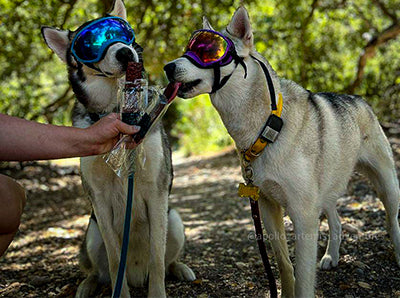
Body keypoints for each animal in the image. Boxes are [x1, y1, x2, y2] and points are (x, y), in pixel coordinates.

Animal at [163, 7, 400, 298]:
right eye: (188, 48)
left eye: (207, 51)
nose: (167, 67)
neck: (269, 126)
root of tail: (359, 99)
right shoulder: (267, 205)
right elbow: (284, 264)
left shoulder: (303, 215)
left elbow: (304, 279)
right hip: (327, 190)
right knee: (336, 221)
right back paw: (331, 257)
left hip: (386, 185)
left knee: (392, 222)